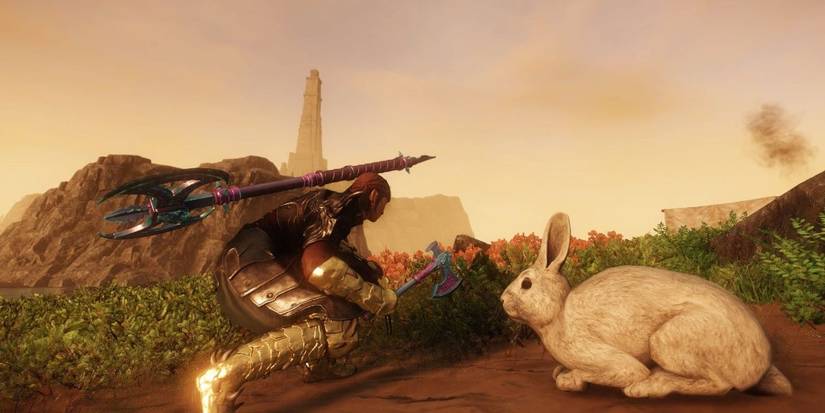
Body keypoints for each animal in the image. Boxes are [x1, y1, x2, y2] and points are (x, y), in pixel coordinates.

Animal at [500, 212, 792, 398]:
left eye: (526, 284)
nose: (502, 300)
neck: (559, 314)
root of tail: (761, 361)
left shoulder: (603, 358)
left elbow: (625, 372)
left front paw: (569, 379)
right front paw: (561, 371)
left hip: (669, 339)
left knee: (721, 385)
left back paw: (648, 387)